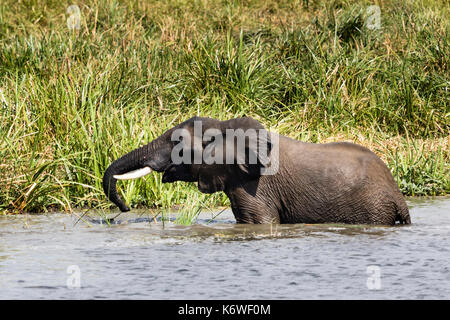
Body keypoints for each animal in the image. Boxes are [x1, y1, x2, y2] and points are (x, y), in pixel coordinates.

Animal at [103, 117, 412, 225]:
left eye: (176, 143)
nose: (125, 208)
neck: (224, 127)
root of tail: (398, 196)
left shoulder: (256, 186)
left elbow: (257, 222)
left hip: (371, 208)